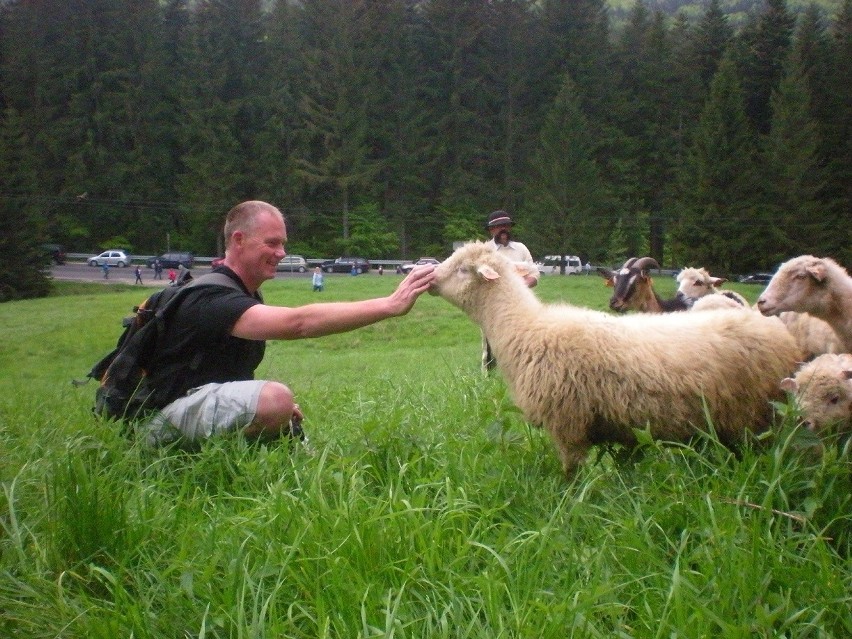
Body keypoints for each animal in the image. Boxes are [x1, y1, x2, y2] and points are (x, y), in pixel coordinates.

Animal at [430, 242, 804, 478]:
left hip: (758, 418)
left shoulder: (568, 424)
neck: (526, 328)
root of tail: (782, 335)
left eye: (462, 269)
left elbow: (570, 476)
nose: (429, 276)